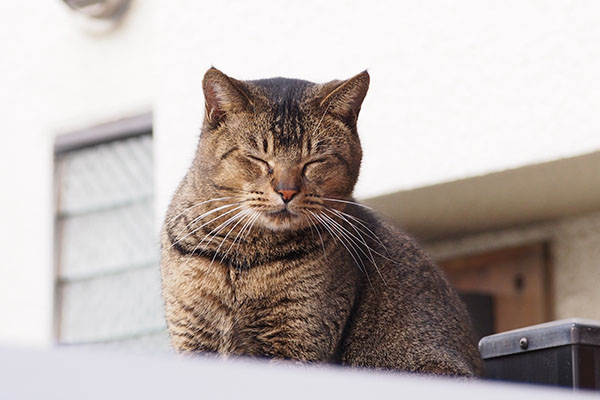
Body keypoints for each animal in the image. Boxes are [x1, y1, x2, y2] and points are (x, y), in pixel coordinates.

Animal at [159, 67, 482, 376]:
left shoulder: (300, 340)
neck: (245, 260)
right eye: (259, 158)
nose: (286, 191)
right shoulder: (192, 337)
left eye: (314, 161)